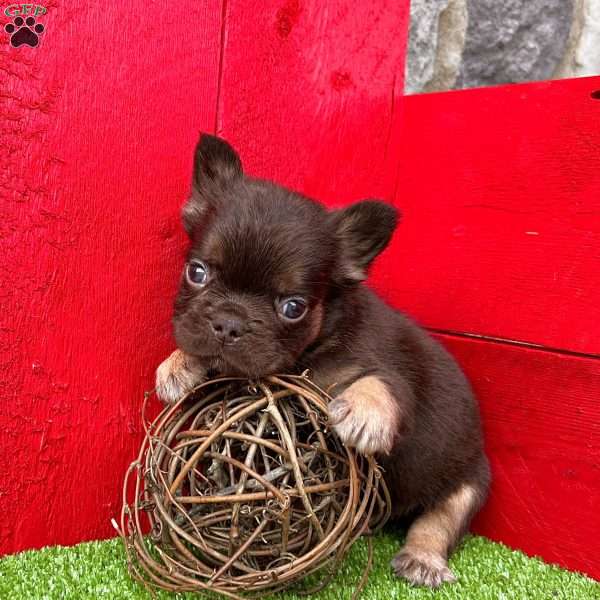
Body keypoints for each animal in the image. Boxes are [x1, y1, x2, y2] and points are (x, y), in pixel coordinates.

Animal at [157, 134, 490, 588]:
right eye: (196, 272)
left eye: (293, 308)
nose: (228, 324)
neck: (306, 354)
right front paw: (178, 363)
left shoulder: (385, 368)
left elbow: (385, 382)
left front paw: (365, 415)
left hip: (469, 481)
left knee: (440, 518)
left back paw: (422, 557)